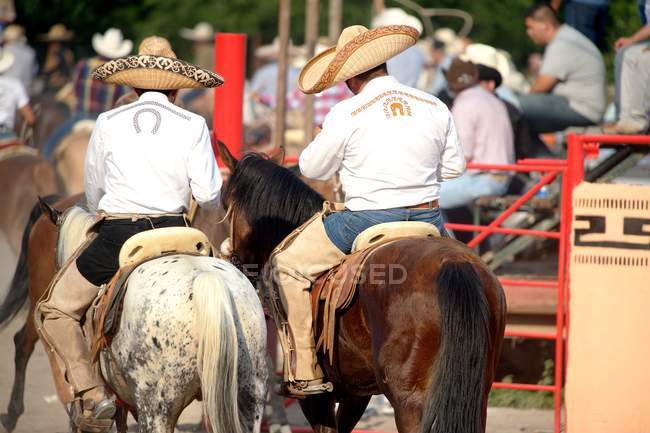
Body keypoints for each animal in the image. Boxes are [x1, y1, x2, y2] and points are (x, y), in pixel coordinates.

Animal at [218, 148, 506, 432]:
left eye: (225, 204)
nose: (230, 257)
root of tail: (453, 264)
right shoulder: (356, 392)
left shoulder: (317, 400)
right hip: (474, 393)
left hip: (411, 400)